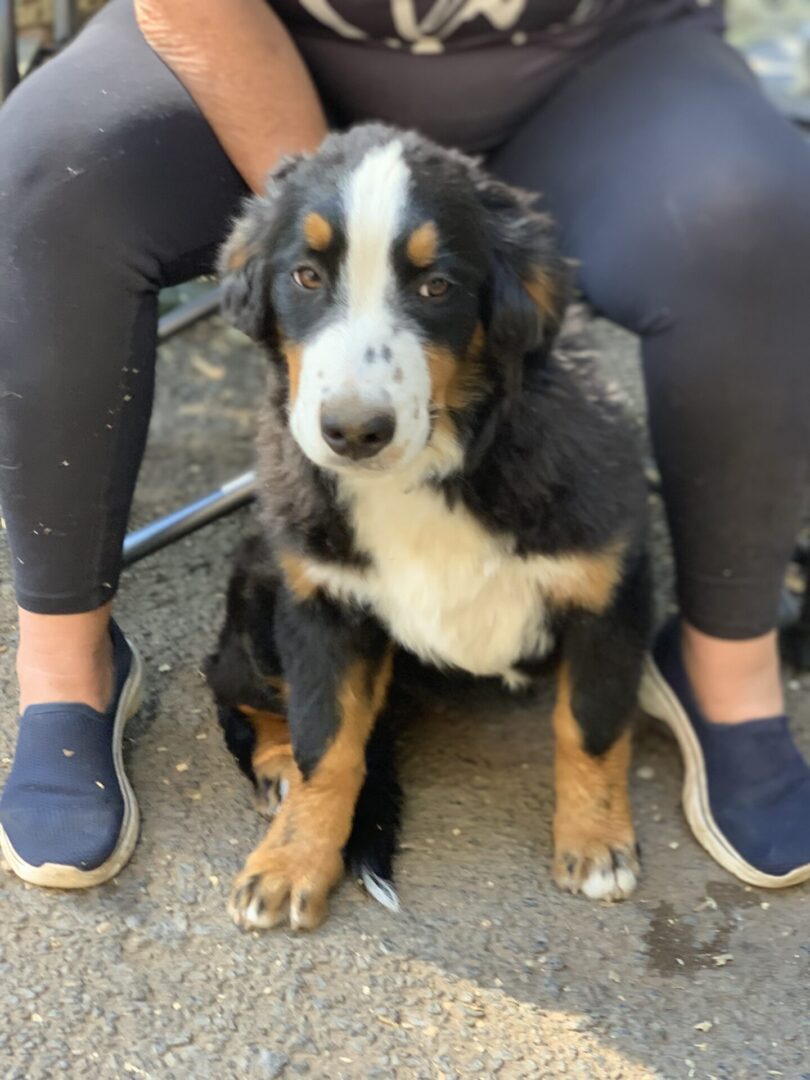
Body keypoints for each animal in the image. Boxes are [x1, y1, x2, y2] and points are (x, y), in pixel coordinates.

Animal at [206, 124, 652, 928]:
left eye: (436, 287)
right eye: (306, 277)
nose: (354, 432)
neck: (432, 469)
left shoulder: (608, 587)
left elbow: (591, 723)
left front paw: (596, 842)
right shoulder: (321, 604)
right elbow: (327, 743)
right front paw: (291, 862)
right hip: (261, 596)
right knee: (237, 691)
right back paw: (275, 768)